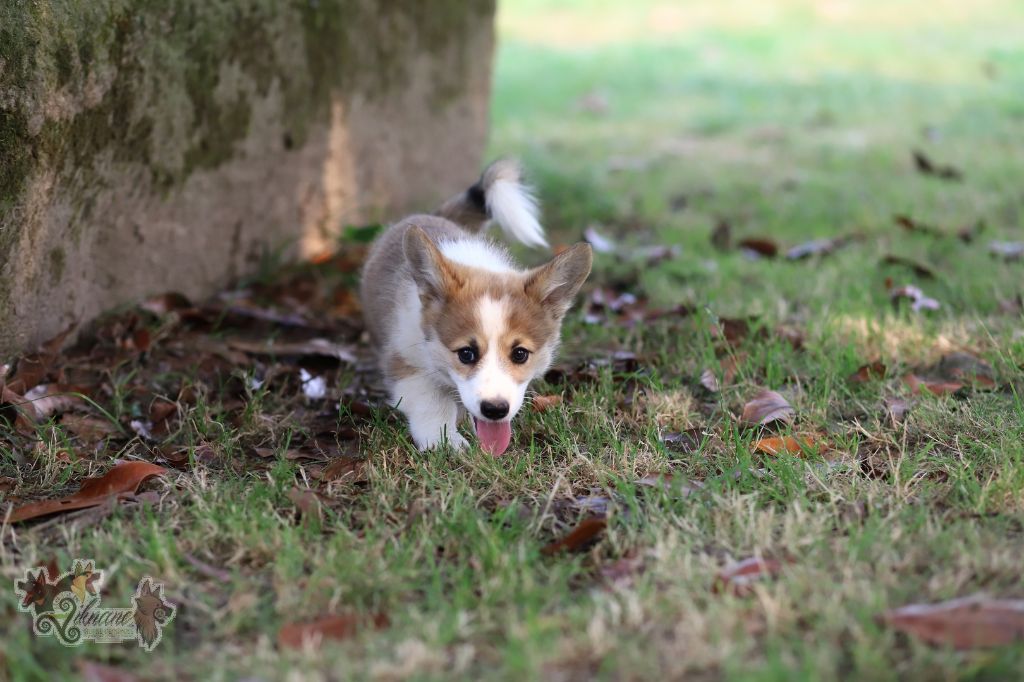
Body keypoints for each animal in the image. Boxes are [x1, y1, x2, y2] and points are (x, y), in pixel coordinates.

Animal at [360, 160, 592, 455]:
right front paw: (443, 441)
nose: (495, 410)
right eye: (466, 354)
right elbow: (431, 401)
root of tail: (435, 214)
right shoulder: (405, 359)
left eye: (520, 354)